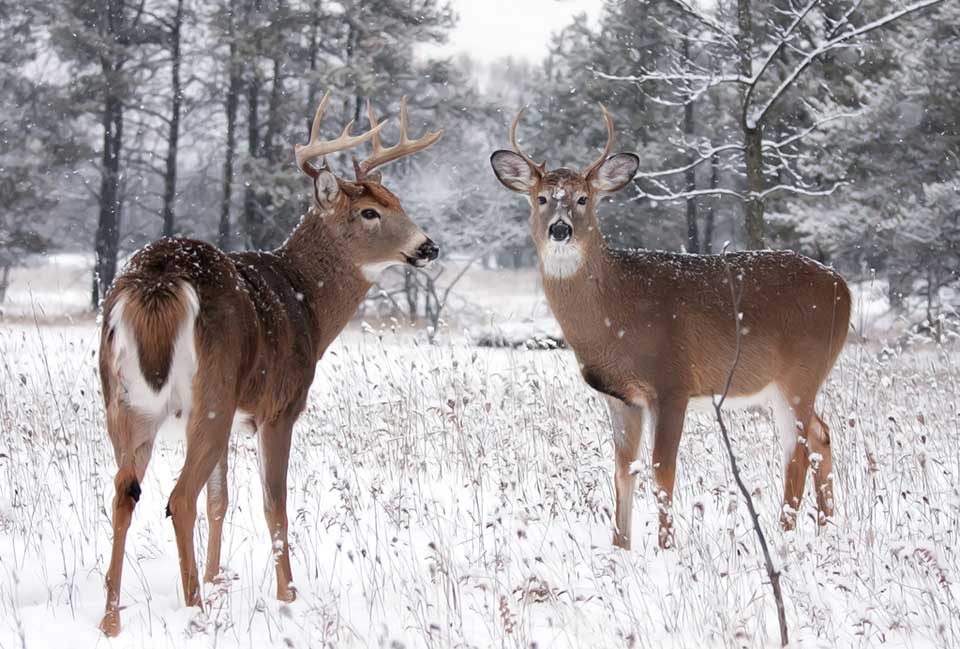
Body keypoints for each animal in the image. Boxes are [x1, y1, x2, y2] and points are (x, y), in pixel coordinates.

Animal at [97, 91, 442, 632]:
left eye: (398, 202)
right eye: (369, 212)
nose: (428, 247)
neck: (309, 305)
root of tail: (158, 280)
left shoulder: (237, 416)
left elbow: (221, 500)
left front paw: (218, 580)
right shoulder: (280, 406)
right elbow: (273, 502)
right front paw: (288, 596)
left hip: (125, 402)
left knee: (124, 492)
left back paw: (112, 619)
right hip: (210, 394)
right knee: (178, 497)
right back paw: (195, 611)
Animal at [492, 109, 852, 548]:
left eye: (583, 199)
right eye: (541, 198)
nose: (560, 229)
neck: (617, 314)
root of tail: (843, 286)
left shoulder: (672, 382)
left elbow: (662, 469)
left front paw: (666, 546)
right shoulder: (621, 397)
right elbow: (623, 469)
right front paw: (621, 547)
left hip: (800, 376)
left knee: (797, 452)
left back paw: (782, 535)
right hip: (788, 384)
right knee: (822, 435)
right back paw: (826, 527)